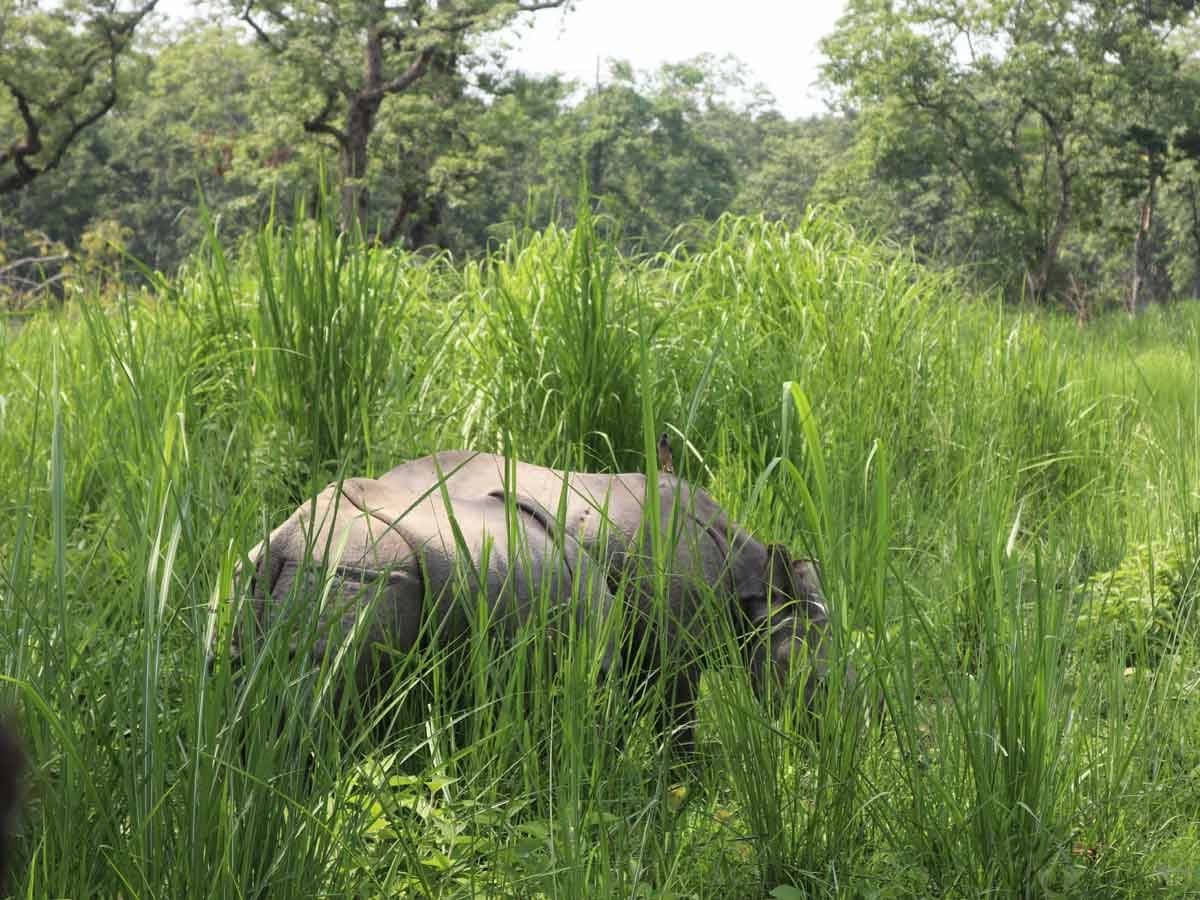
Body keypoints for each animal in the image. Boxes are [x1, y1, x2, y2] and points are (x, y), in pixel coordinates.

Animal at [234, 450, 838, 754]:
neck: (753, 582)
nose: (842, 737)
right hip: (361, 575)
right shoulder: (673, 644)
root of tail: (286, 540)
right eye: (812, 679)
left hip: (265, 576)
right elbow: (676, 720)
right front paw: (677, 786)